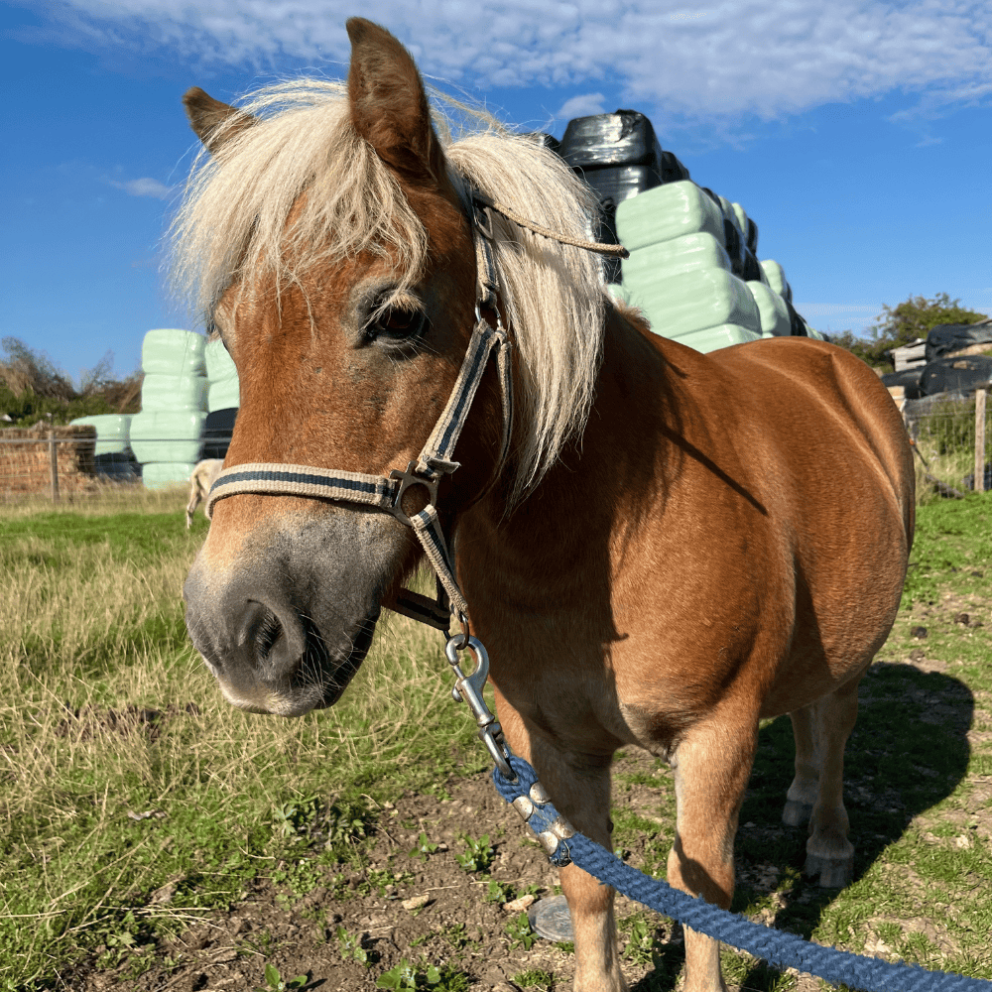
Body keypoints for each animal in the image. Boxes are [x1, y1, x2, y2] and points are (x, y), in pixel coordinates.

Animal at [176, 17, 916, 992]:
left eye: (398, 317)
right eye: (230, 336)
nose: (237, 630)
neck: (594, 541)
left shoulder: (714, 739)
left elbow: (703, 896)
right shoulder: (552, 746)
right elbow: (591, 890)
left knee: (834, 718)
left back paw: (826, 838)